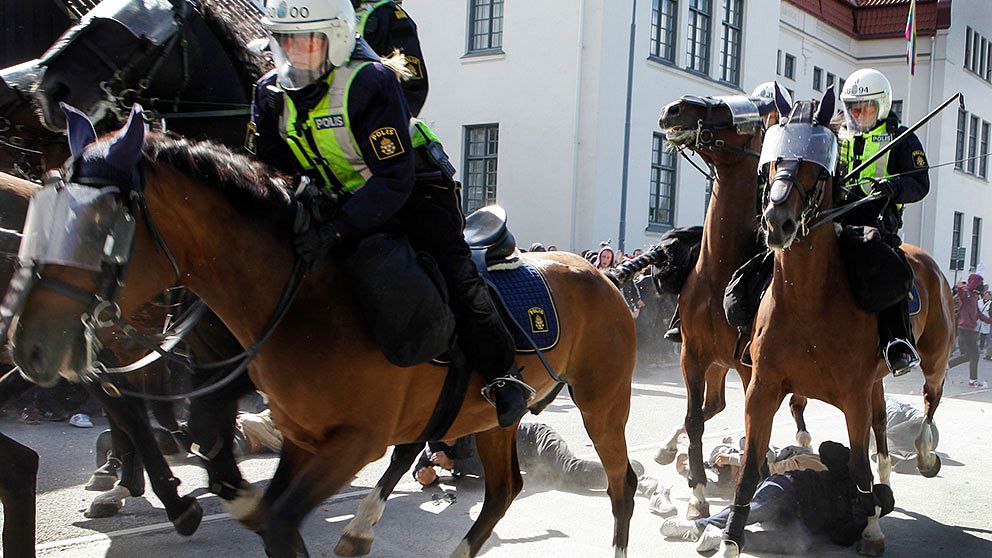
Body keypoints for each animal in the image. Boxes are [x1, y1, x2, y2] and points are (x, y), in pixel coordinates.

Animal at [5, 112, 644, 558]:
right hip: (489, 417)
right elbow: (262, 507)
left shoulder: (350, 442)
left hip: (602, 401)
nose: (28, 345)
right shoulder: (302, 435)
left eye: (97, 225)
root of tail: (601, 273)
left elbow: (277, 517)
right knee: (502, 490)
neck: (307, 297)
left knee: (621, 482)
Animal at [720, 89, 960, 556]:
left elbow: (856, 465)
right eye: (774, 157)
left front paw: (871, 529)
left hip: (934, 360)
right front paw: (729, 539)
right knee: (883, 434)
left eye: (815, 163)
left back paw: (924, 455)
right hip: (876, 384)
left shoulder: (853, 395)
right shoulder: (762, 390)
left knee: (928, 404)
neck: (807, 303)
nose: (777, 221)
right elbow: (752, 469)